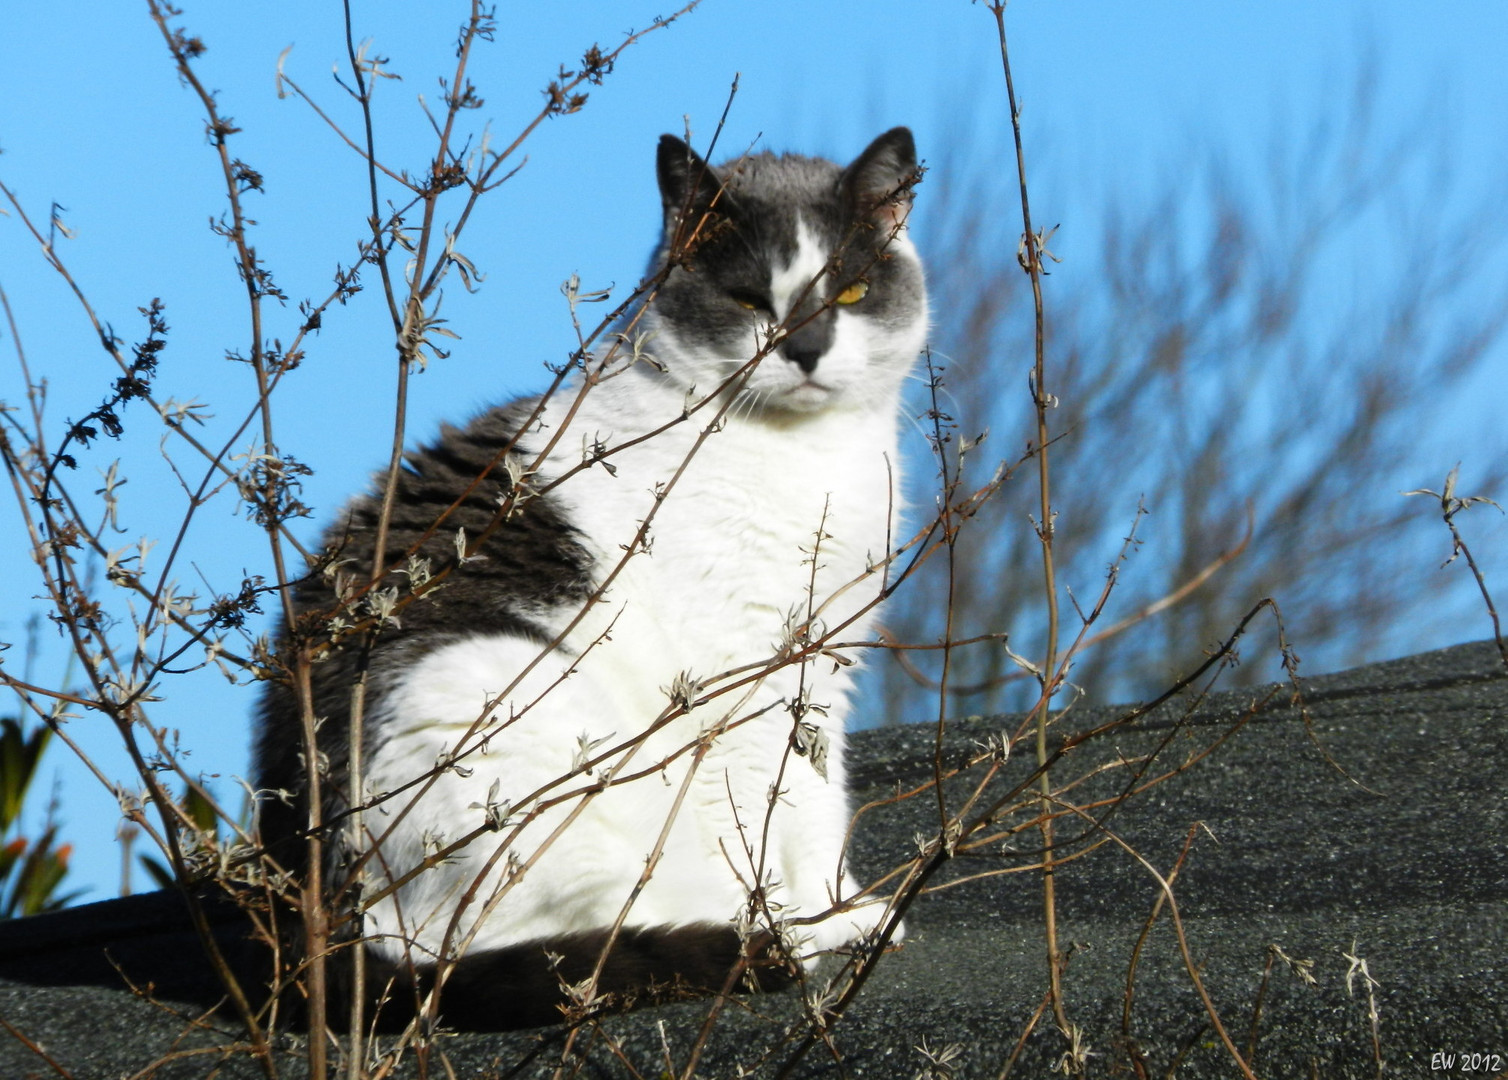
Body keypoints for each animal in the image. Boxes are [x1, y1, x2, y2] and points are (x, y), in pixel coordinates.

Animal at [253, 126, 922, 1031]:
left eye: (851, 291)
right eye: (751, 300)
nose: (807, 350)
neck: (808, 457)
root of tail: (309, 929)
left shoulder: (824, 660)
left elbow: (816, 793)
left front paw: (841, 905)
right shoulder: (734, 668)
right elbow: (757, 795)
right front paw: (802, 914)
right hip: (495, 695)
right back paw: (754, 934)